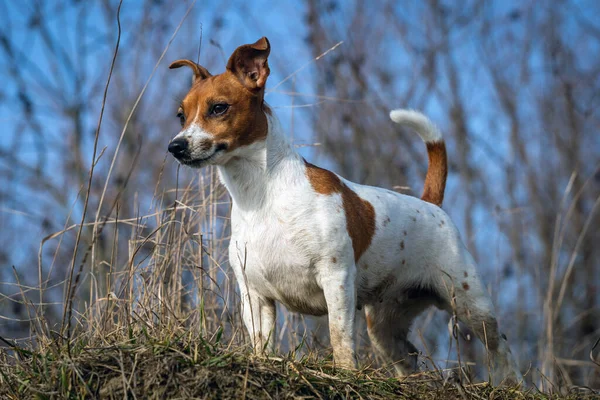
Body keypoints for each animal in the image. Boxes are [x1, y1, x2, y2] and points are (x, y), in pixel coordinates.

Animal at [166, 37, 524, 384]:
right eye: (181, 115)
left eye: (218, 108)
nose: (175, 147)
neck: (261, 195)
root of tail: (430, 203)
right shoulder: (254, 296)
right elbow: (261, 344)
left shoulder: (335, 278)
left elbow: (340, 338)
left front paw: (345, 374)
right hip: (384, 326)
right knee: (408, 357)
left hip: (470, 304)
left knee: (501, 346)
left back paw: (513, 383)